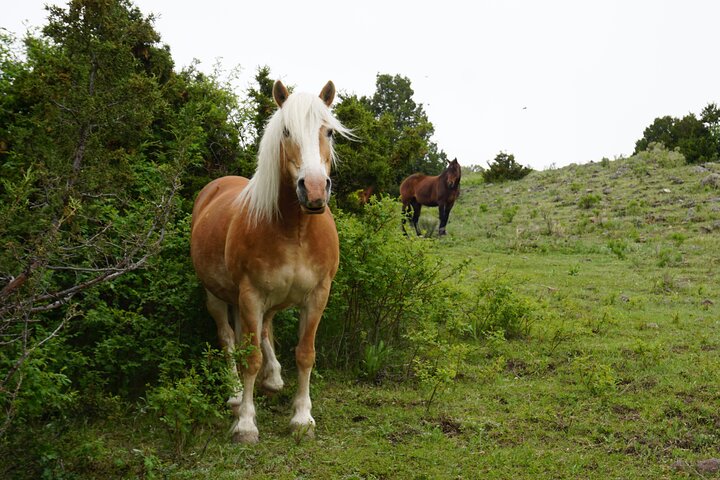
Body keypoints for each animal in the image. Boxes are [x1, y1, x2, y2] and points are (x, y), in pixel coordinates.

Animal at [190, 80, 350, 443]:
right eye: (287, 131)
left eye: (329, 132)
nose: (314, 189)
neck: (295, 230)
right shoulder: (250, 295)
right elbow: (248, 356)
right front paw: (246, 424)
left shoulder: (317, 295)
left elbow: (305, 354)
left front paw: (302, 418)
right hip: (216, 296)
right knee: (228, 339)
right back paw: (236, 395)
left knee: (263, 331)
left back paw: (273, 377)